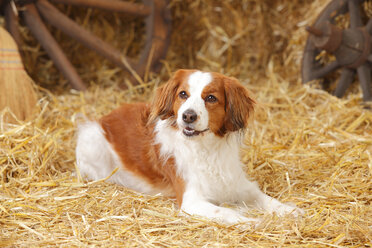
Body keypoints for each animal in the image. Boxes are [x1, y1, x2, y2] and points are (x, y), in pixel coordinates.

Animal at [75, 69, 302, 225]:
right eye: (182, 94)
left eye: (211, 98)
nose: (188, 116)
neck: (206, 149)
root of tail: (104, 118)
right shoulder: (191, 201)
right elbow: (226, 212)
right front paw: (252, 221)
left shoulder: (238, 184)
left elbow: (268, 200)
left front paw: (290, 211)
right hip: (92, 140)